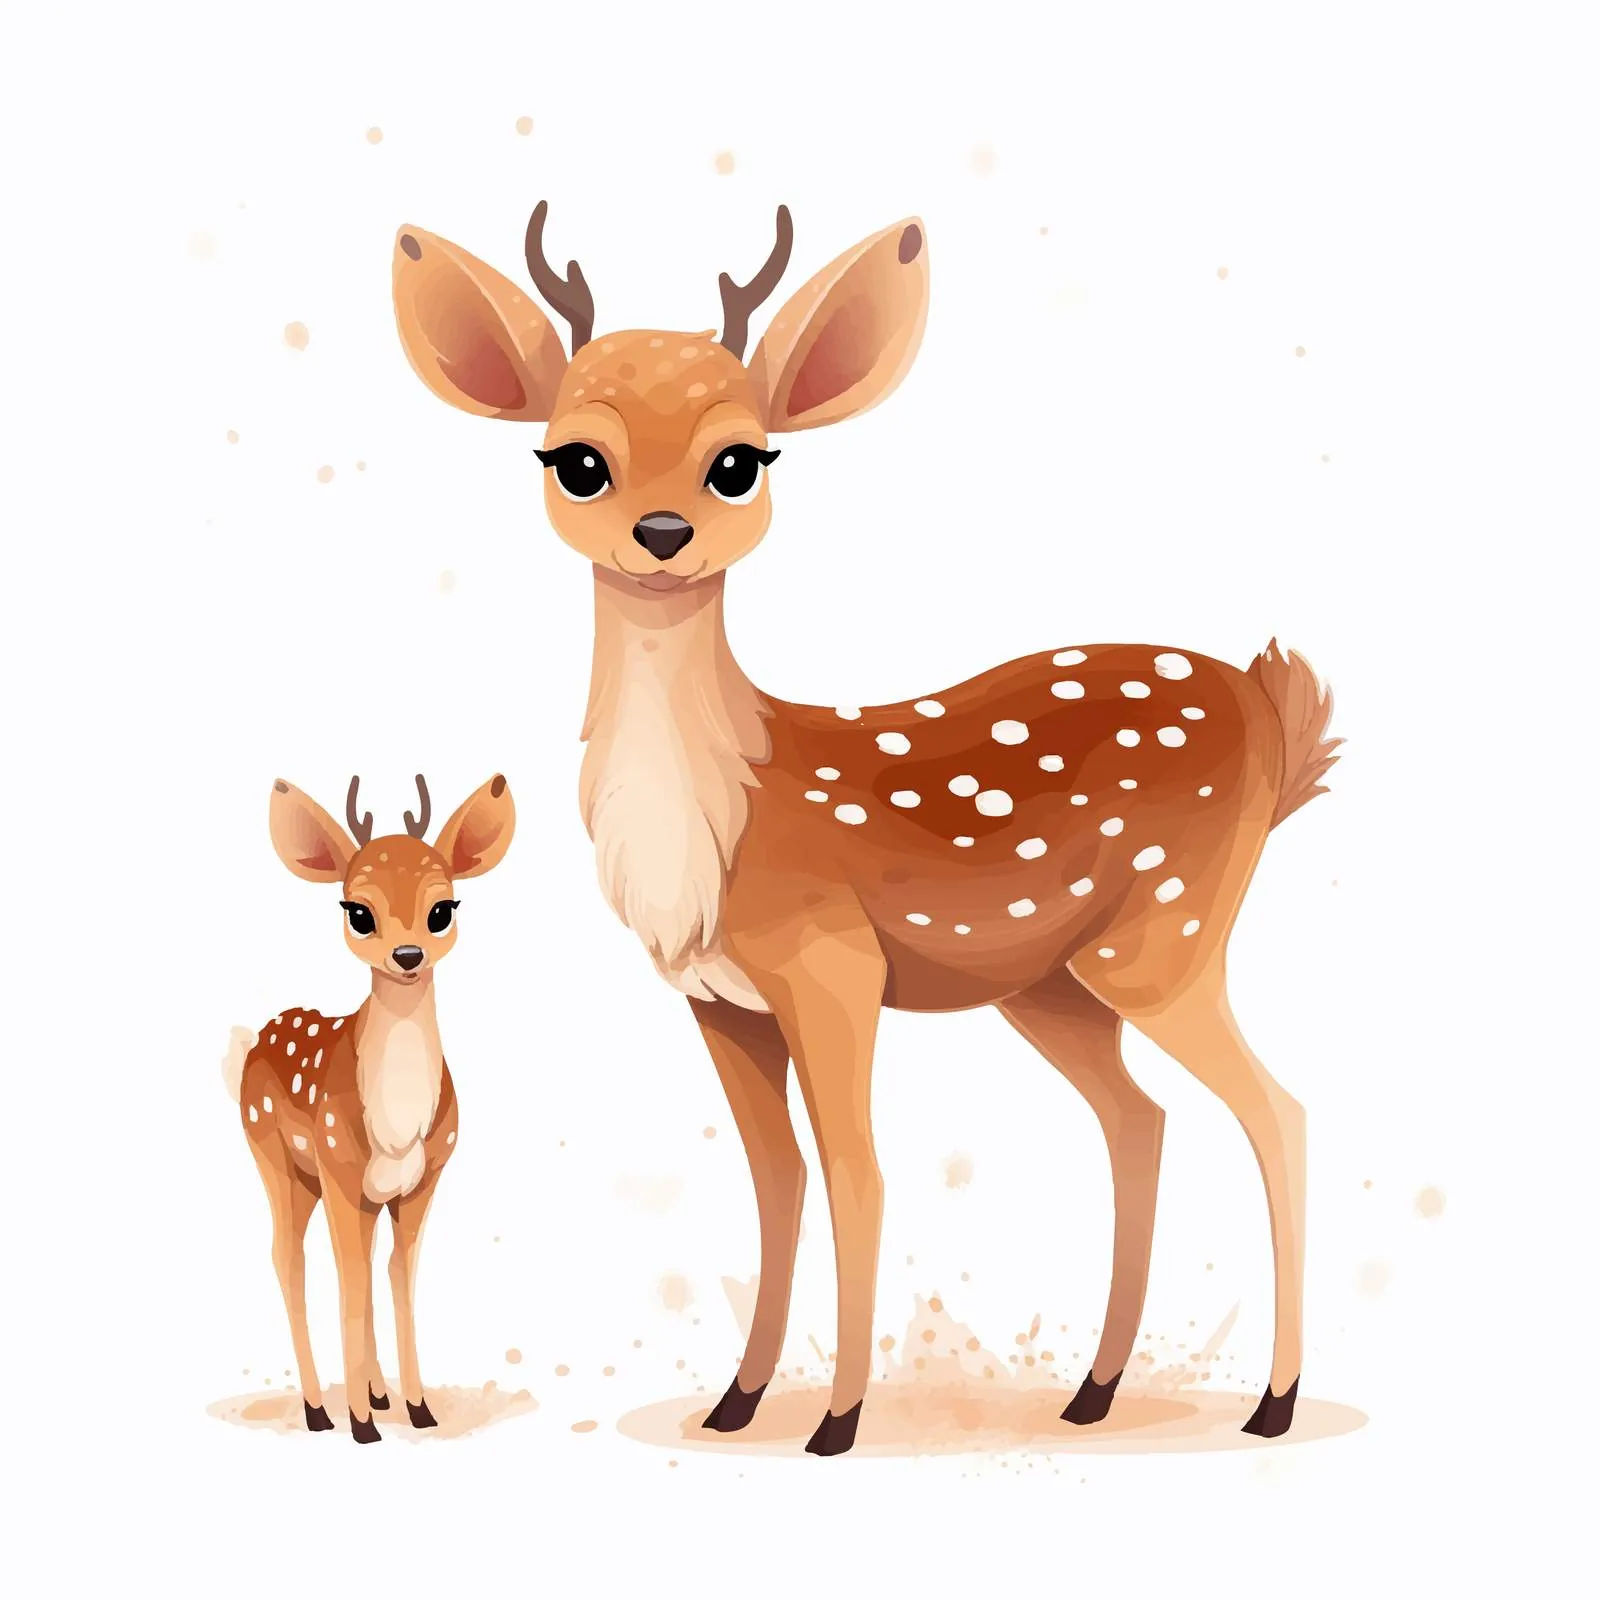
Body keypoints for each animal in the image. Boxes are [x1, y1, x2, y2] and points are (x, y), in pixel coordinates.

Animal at [221, 773, 516, 1442]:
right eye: (358, 912)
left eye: (443, 908)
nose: (407, 956)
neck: (398, 1127)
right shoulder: (339, 1167)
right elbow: (352, 1281)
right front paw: (360, 1425)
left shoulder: (423, 1179)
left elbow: (398, 1279)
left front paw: (419, 1409)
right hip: (276, 1157)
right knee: (289, 1258)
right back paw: (317, 1410)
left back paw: (378, 1396)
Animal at [389, 201, 1340, 1457]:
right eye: (576, 459)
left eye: (739, 459)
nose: (661, 531)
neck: (720, 831)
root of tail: (1271, 712)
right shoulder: (719, 1001)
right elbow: (775, 1178)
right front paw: (735, 1403)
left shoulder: (831, 963)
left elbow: (855, 1169)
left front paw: (834, 1423)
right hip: (1051, 981)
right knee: (1139, 1116)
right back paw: (1092, 1393)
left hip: (1168, 937)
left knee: (1277, 1109)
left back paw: (1272, 1405)